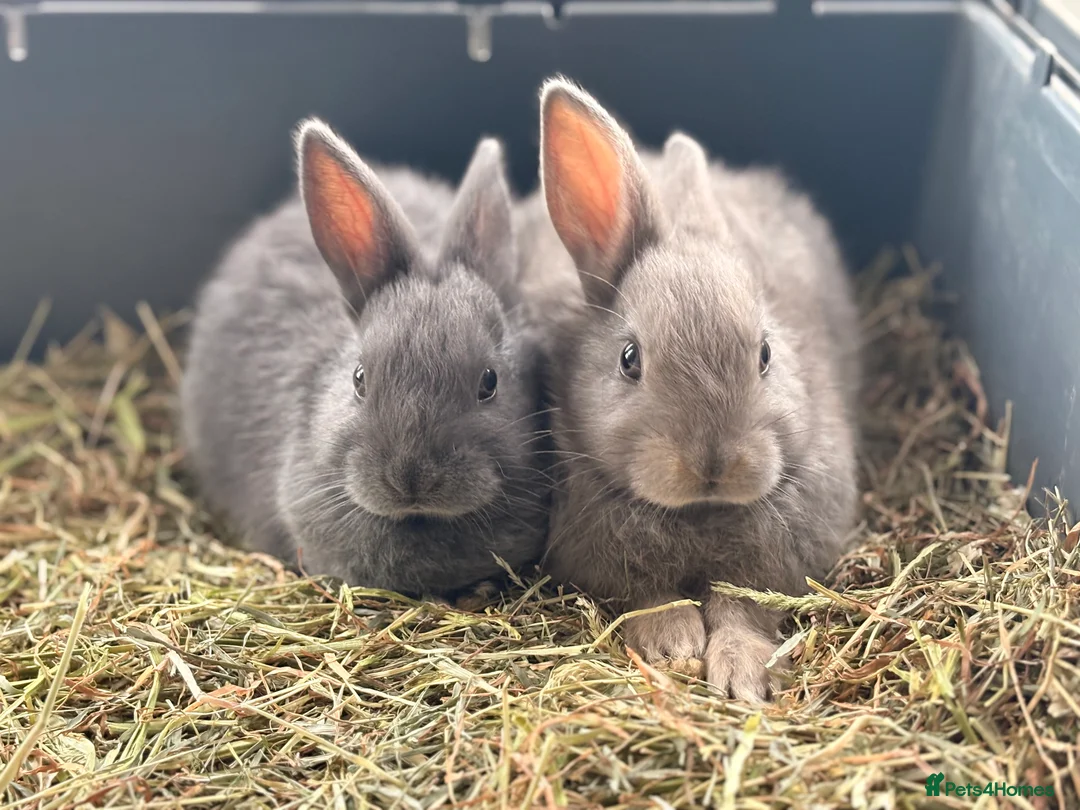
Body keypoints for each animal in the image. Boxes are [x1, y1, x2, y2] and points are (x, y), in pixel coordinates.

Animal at [522, 78, 861, 701]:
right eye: (629, 359)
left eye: (766, 354)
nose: (713, 464)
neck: (700, 512)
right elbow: (652, 595)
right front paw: (675, 646)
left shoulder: (771, 564)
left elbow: (742, 609)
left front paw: (743, 676)